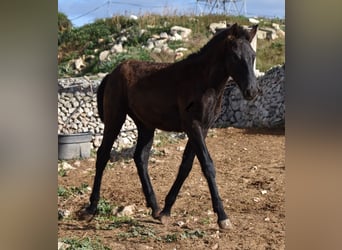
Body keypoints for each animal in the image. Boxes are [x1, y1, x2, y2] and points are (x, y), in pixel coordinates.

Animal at [83, 23, 260, 230]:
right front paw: (222, 217)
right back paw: (91, 208)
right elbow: (207, 166)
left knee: (140, 158)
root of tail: (111, 74)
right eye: (235, 56)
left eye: (253, 56)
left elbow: (186, 166)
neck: (202, 80)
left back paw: (155, 208)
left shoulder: (203, 128)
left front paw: (167, 210)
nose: (252, 91)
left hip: (145, 125)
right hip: (115, 118)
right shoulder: (193, 126)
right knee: (103, 155)